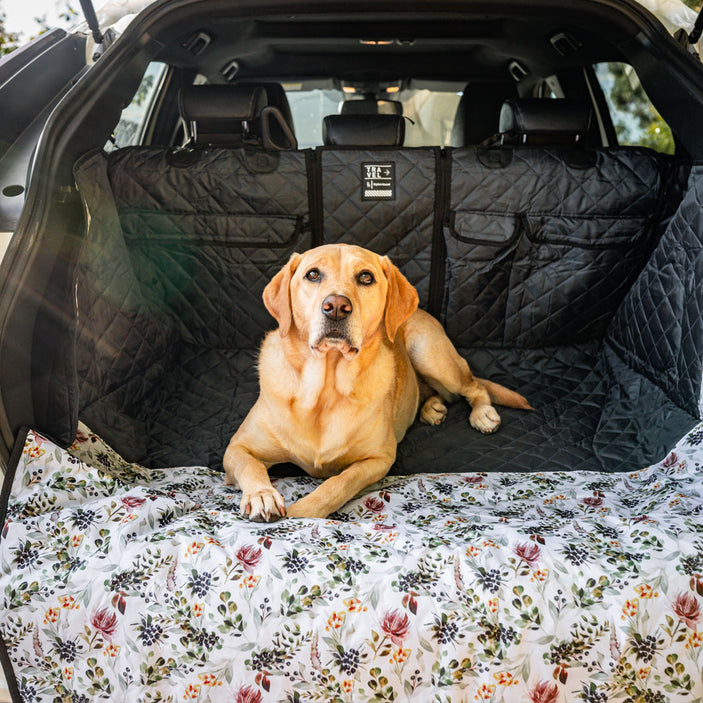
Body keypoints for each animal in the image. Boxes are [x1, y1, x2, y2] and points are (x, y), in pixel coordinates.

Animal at [224, 245, 528, 520]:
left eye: (365, 277)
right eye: (312, 274)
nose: (336, 307)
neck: (325, 390)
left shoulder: (378, 459)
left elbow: (339, 483)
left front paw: (303, 511)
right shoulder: (237, 447)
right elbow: (251, 466)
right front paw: (262, 495)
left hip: (431, 355)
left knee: (474, 386)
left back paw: (483, 413)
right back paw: (432, 408)